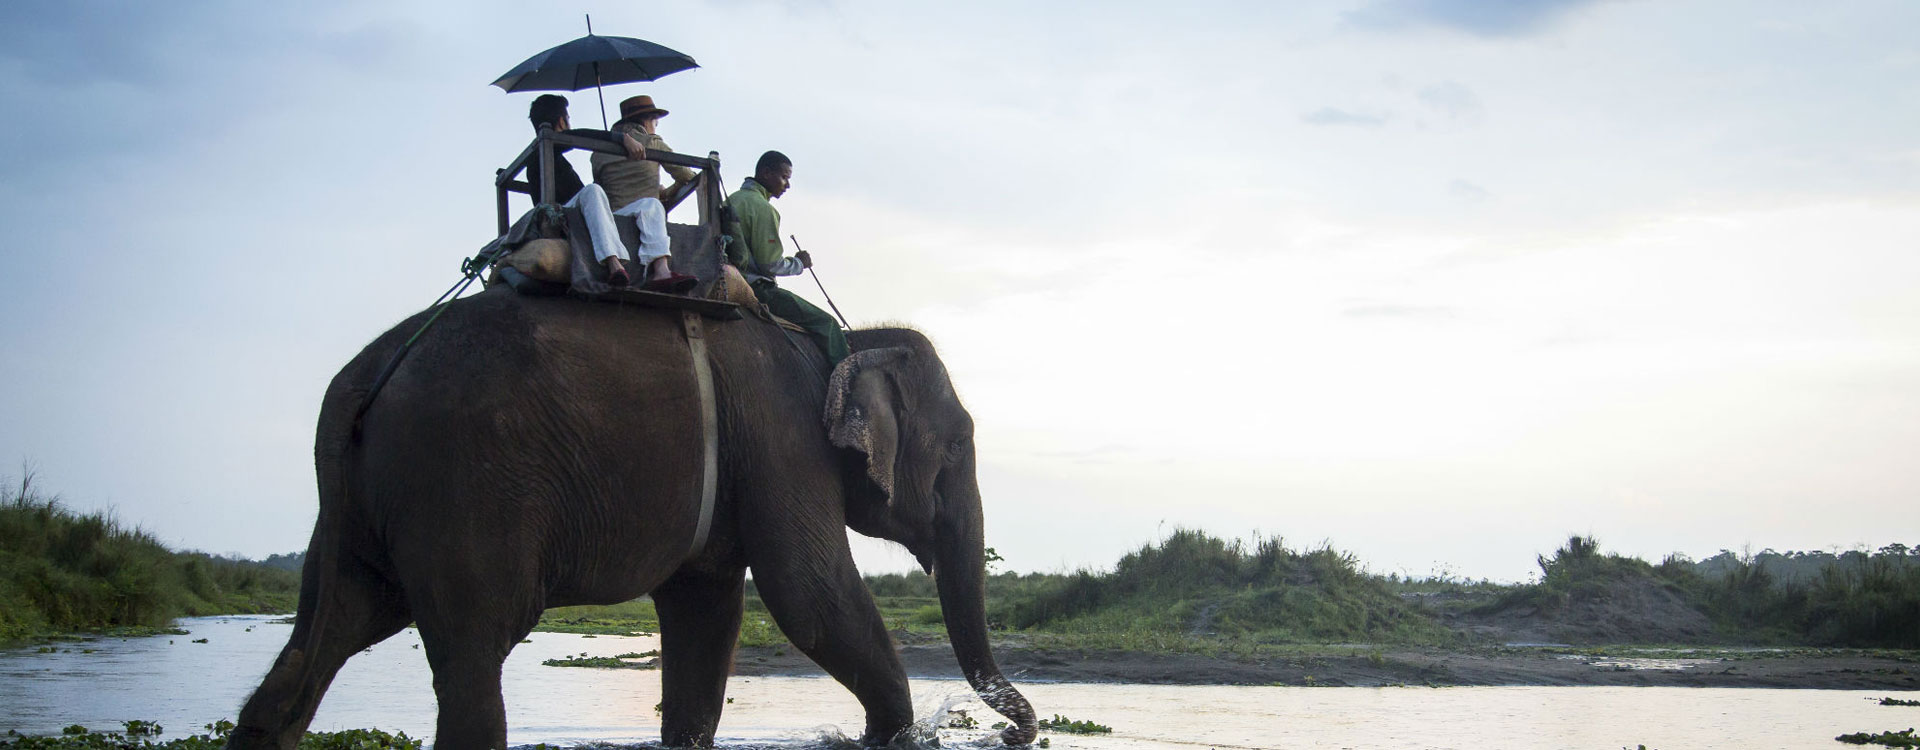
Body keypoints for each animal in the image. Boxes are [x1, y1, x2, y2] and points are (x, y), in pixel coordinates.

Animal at [227, 284, 1039, 749]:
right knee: (473, 657)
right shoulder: (782, 438)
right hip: (462, 486)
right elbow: (809, 596)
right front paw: (892, 735)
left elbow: (708, 611)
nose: (1017, 734)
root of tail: (363, 378)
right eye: (958, 445)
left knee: (320, 645)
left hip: (362, 510)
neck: (840, 342)